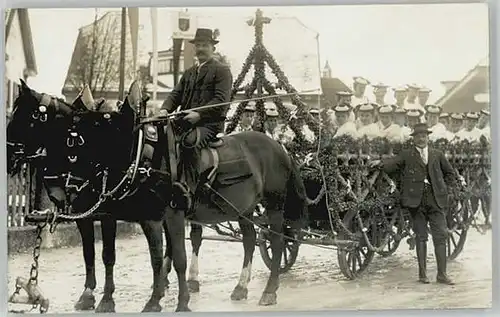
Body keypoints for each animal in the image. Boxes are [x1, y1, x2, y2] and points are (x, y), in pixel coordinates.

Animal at [4, 80, 173, 312]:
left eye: (24, 117)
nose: (7, 156)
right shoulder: (85, 216)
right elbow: (89, 253)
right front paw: (88, 294)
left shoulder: (112, 216)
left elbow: (109, 256)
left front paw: (107, 299)